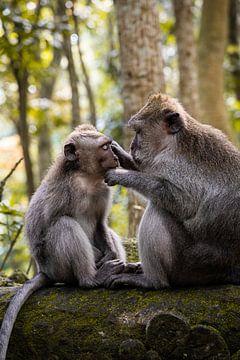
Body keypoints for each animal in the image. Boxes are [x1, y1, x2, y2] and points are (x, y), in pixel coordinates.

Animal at [0, 124, 126, 360]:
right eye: (105, 147)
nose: (115, 156)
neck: (86, 178)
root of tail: (45, 271)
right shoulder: (66, 190)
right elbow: (44, 230)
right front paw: (100, 261)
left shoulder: (104, 188)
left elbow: (100, 226)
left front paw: (110, 254)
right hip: (56, 266)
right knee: (64, 225)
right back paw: (91, 279)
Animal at [104, 93, 240, 290]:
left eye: (139, 132)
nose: (131, 147)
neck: (173, 143)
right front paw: (121, 154)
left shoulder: (171, 165)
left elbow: (185, 204)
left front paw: (121, 175)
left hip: (190, 266)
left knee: (158, 208)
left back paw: (152, 281)